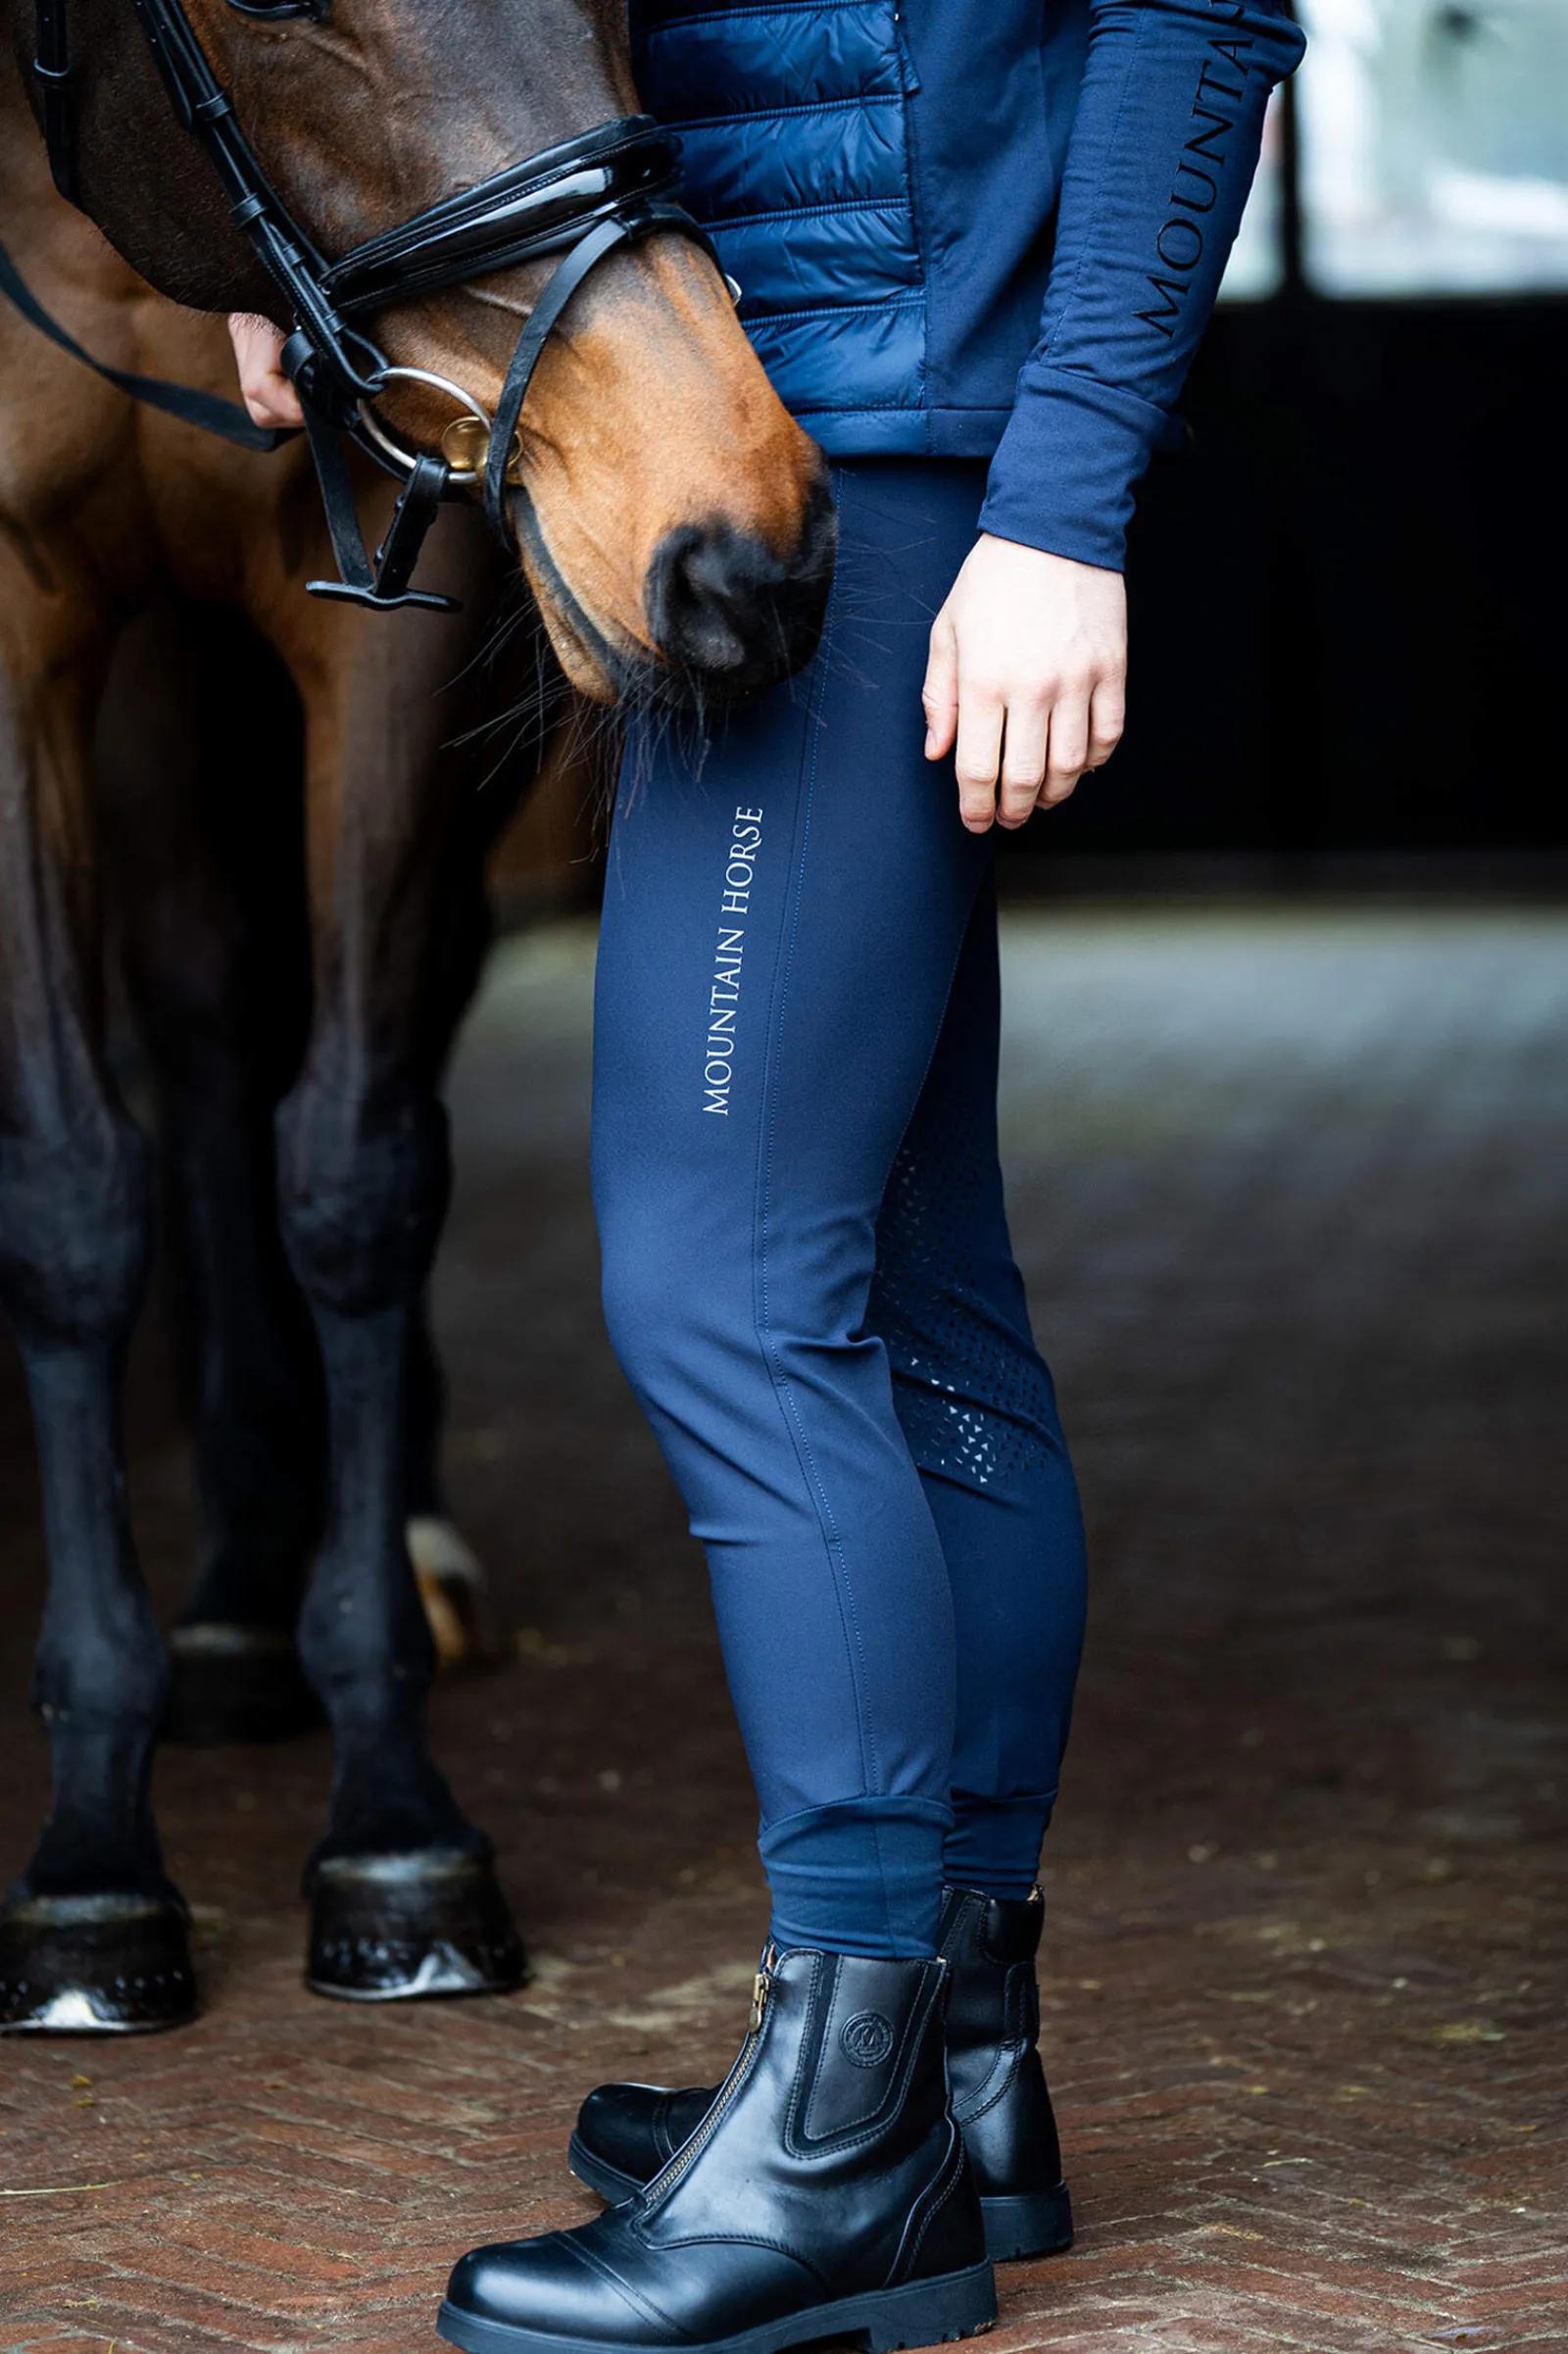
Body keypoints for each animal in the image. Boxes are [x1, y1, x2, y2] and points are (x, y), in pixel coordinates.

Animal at [0, 0, 833, 2032]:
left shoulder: (398, 608)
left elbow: (360, 1172)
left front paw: (396, 1827)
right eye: (275, 8)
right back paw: (230, 1595)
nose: (744, 538)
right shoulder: (15, 620)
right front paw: (89, 1860)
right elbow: (69, 1198)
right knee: (208, 1023)